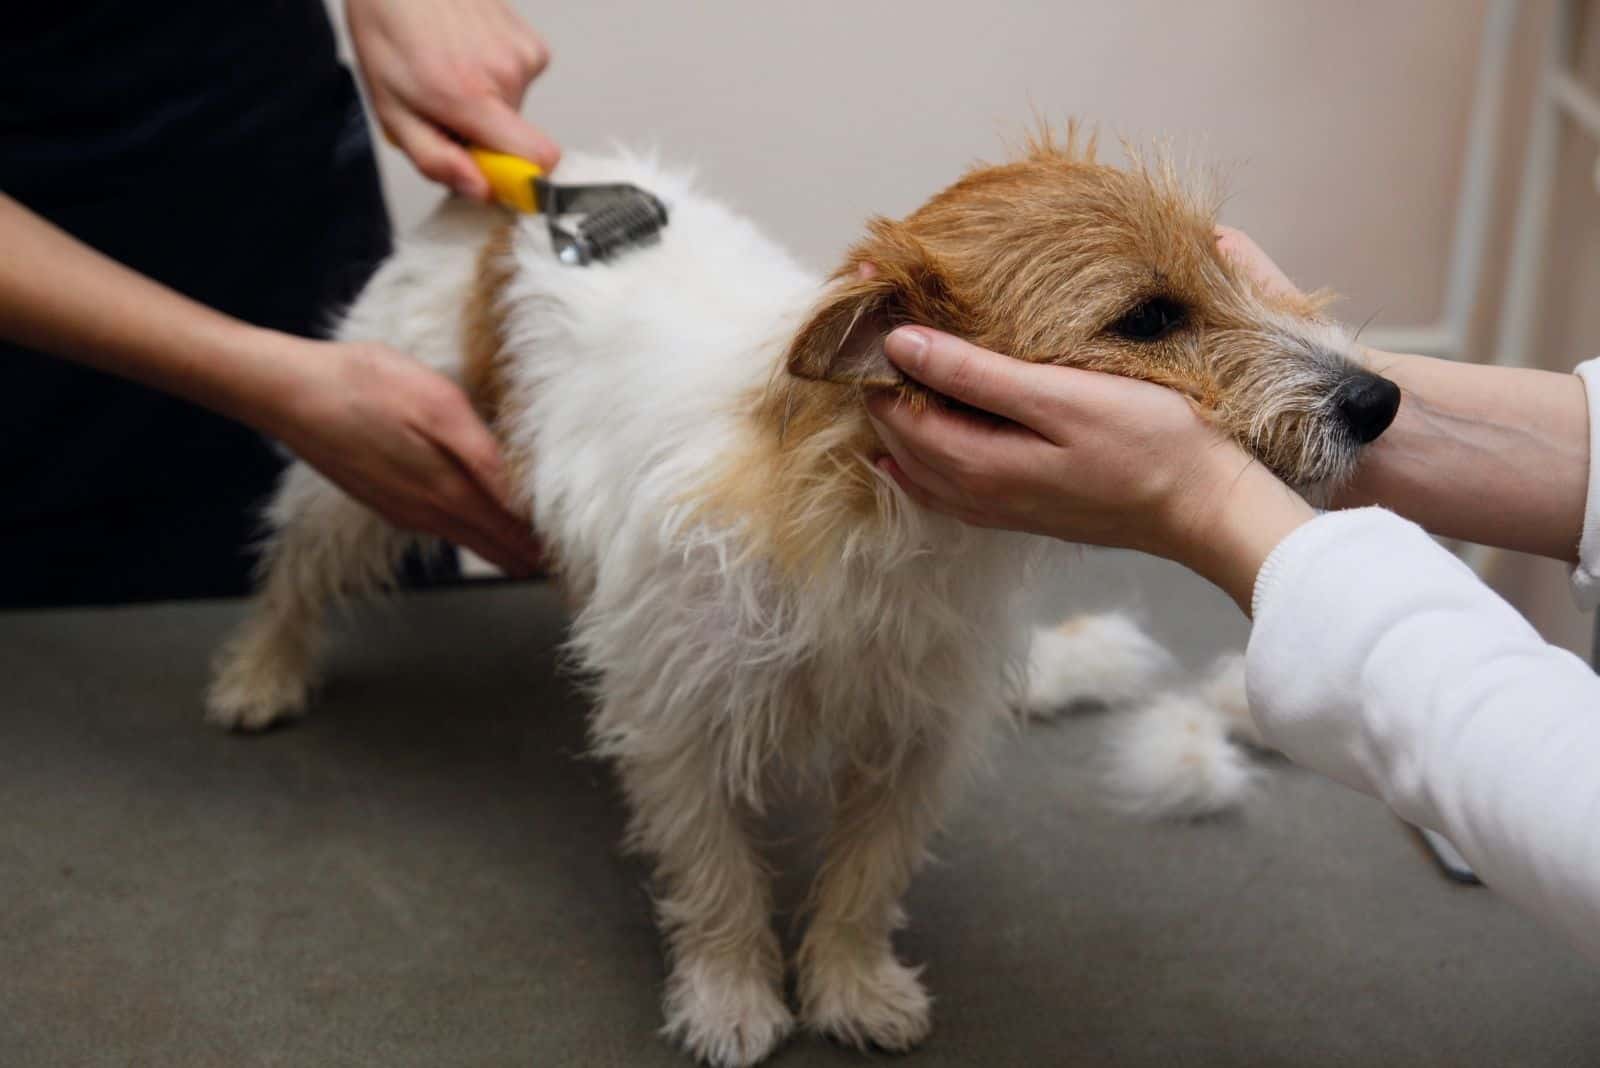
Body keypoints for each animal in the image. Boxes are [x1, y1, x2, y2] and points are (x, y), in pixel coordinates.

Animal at [206, 129, 1395, 1061]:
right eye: (1147, 319)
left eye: (1225, 269)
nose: (1378, 399)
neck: (881, 517)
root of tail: (533, 184)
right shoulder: (675, 722)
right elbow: (715, 877)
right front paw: (732, 996)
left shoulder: (918, 730)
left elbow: (866, 879)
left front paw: (848, 987)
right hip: (353, 462)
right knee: (293, 572)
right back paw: (261, 675)